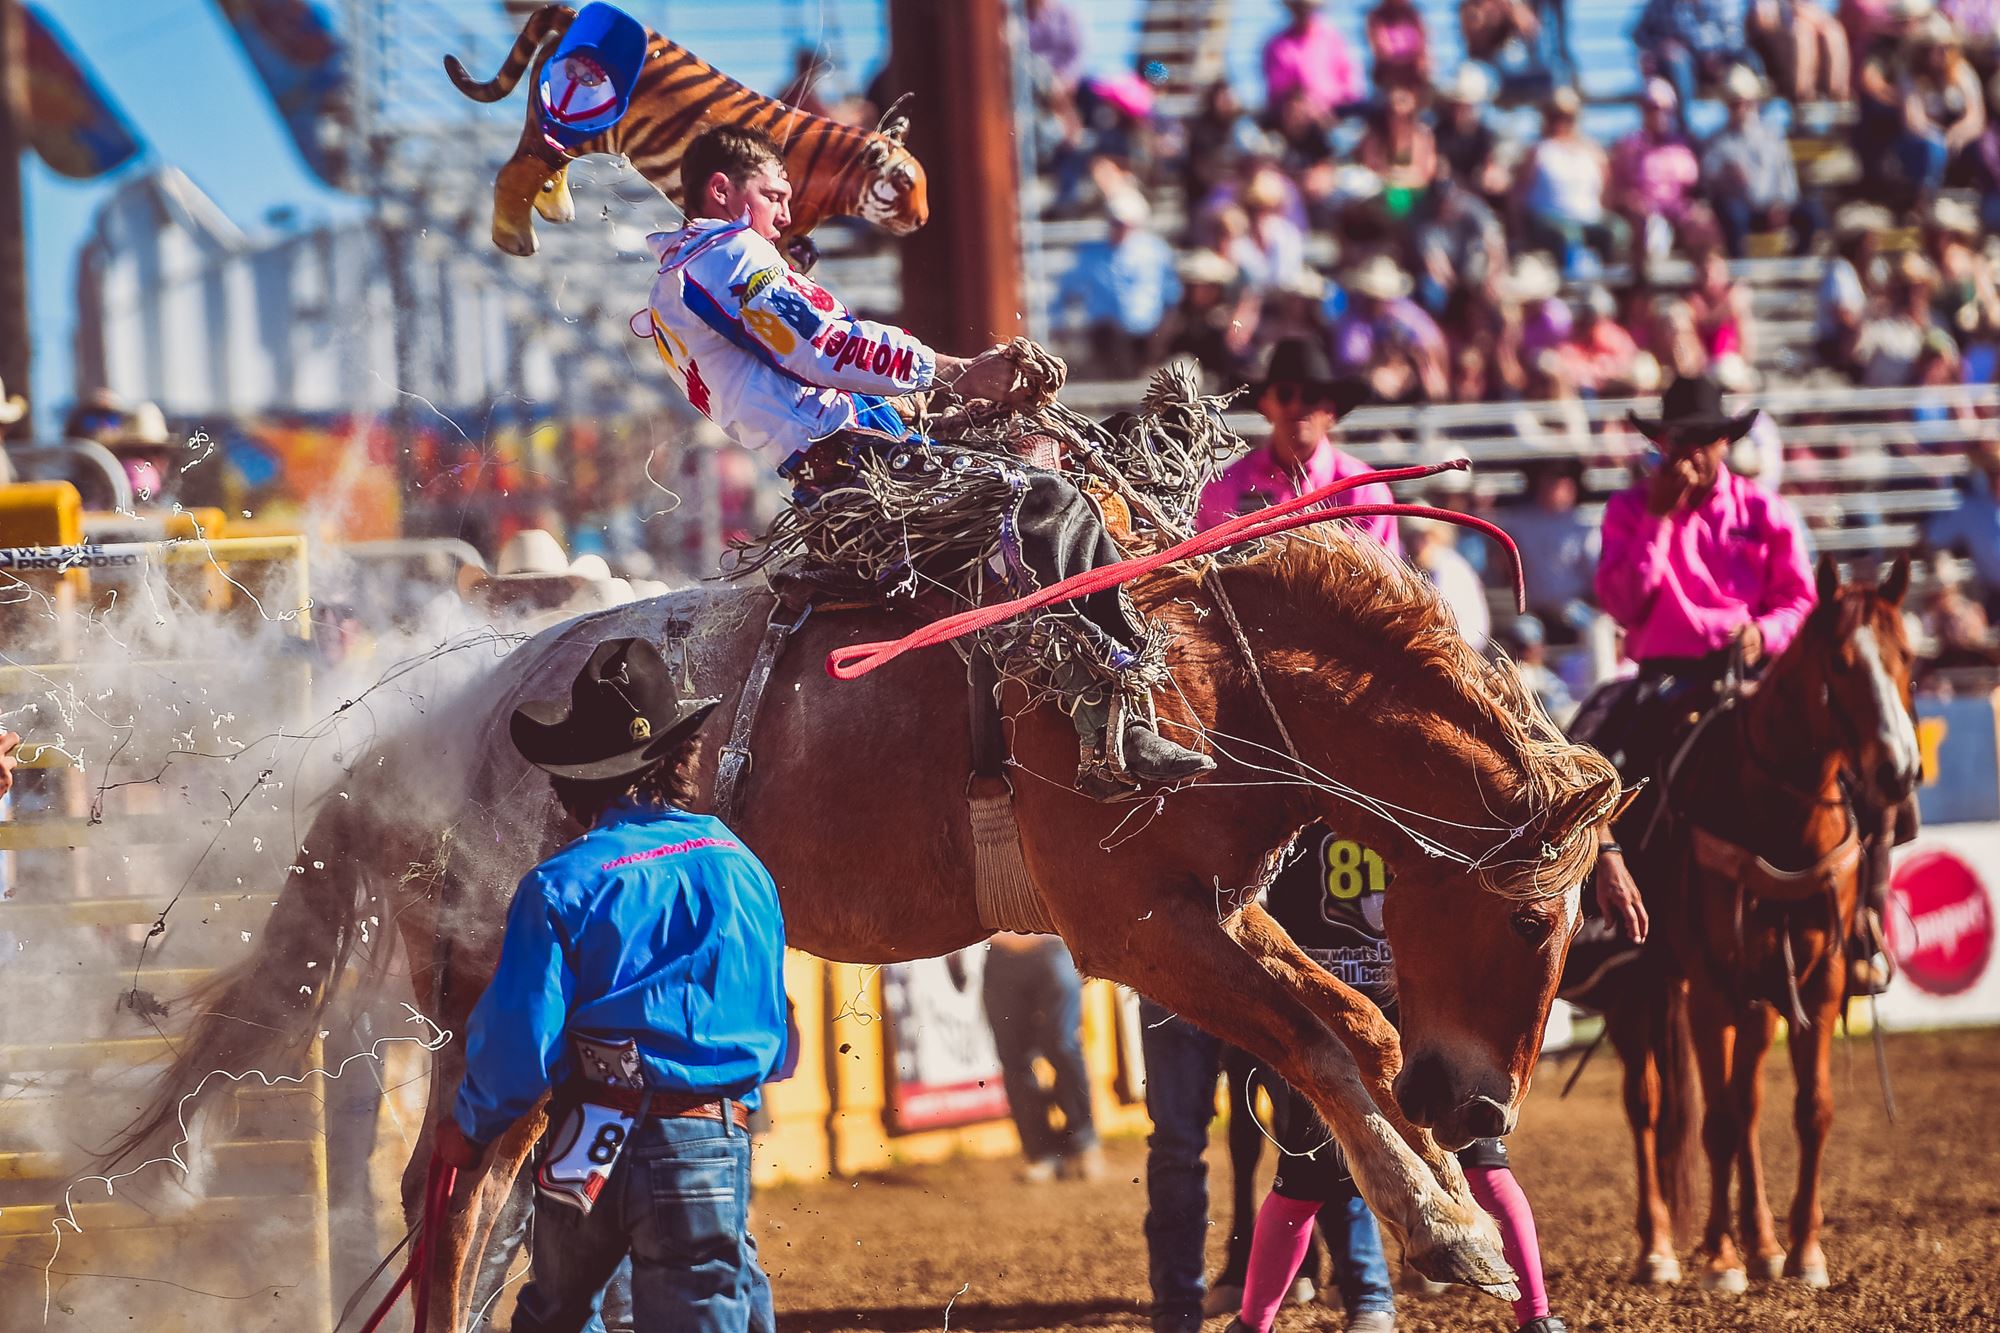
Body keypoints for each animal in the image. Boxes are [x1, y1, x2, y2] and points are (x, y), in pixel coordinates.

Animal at [1584, 552, 1912, 1288]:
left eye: (1907, 656)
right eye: (1841, 662)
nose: (1900, 769)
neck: (1778, 816)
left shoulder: (1820, 982)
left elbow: (1807, 1110)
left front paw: (1802, 1251)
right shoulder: (1711, 985)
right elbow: (1719, 1120)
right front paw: (1719, 1257)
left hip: (1757, 994)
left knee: (1749, 1100)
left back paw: (1762, 1241)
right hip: (1639, 991)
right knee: (1648, 1103)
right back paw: (1660, 1248)